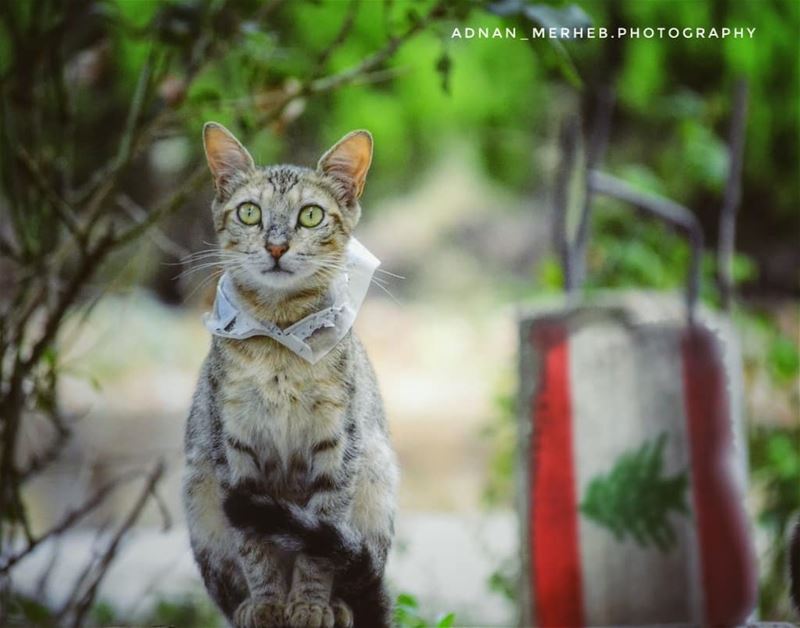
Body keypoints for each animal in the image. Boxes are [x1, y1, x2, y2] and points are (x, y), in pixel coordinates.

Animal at [180, 124, 396, 628]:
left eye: (311, 215)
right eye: (250, 212)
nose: (276, 246)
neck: (279, 340)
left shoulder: (338, 448)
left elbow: (319, 550)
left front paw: (309, 605)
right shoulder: (232, 452)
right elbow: (255, 549)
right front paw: (267, 603)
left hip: (376, 479)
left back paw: (338, 605)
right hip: (199, 496)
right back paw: (245, 606)